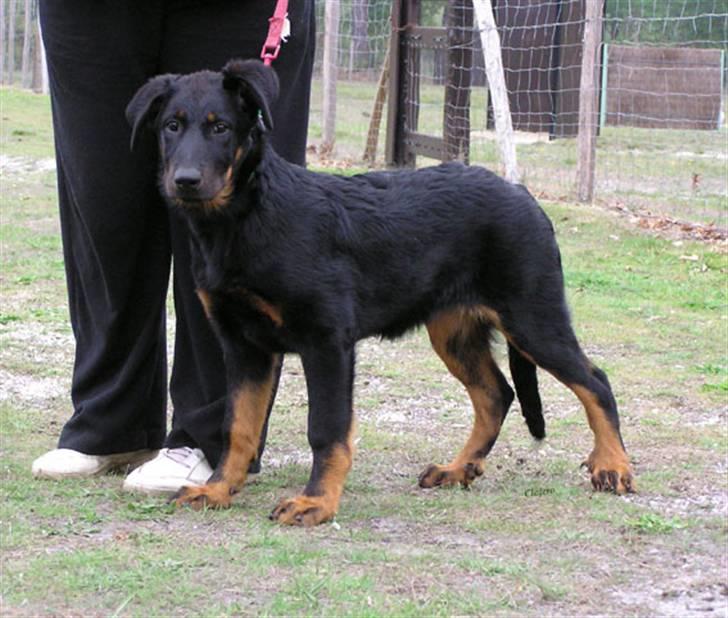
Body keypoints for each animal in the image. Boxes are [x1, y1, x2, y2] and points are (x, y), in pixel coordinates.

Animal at [128, 59, 636, 524]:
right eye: (171, 126)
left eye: (221, 128)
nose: (185, 181)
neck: (247, 216)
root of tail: (524, 195)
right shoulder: (244, 347)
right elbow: (238, 426)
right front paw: (218, 489)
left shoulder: (326, 341)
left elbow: (326, 429)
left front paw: (316, 502)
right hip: (454, 332)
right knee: (496, 394)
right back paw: (458, 468)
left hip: (532, 318)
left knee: (595, 382)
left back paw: (612, 466)